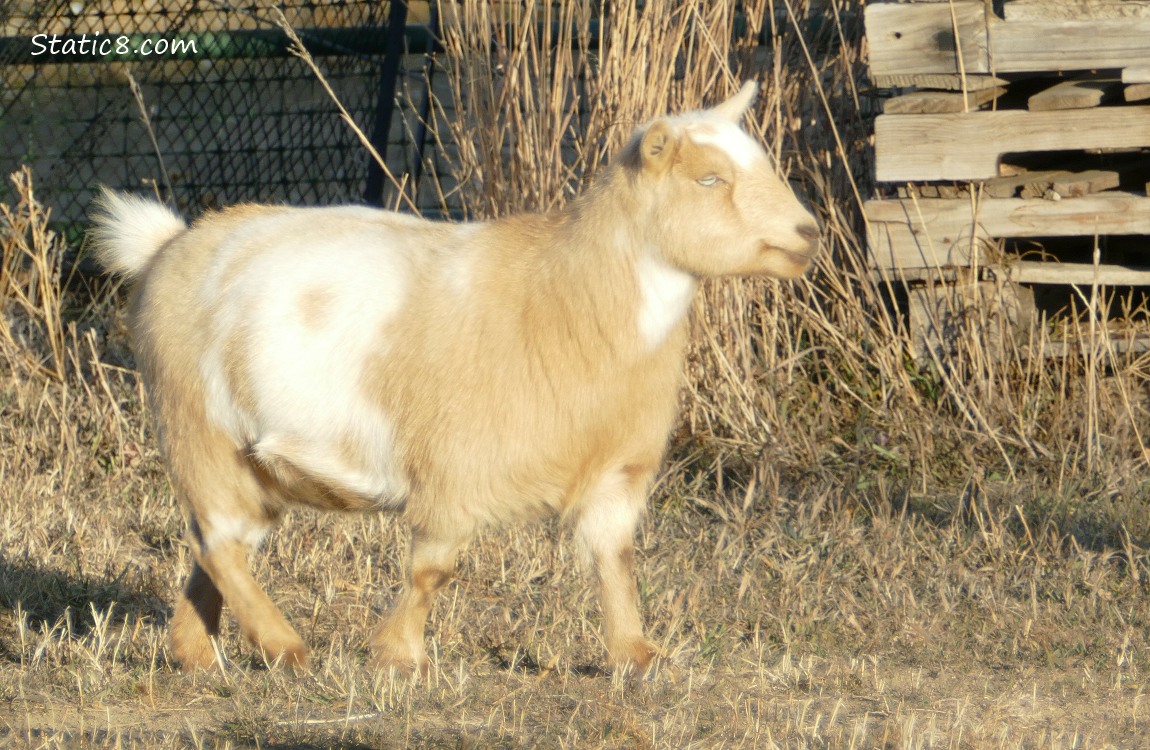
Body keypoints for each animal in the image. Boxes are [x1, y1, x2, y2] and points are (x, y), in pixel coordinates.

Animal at [90, 82, 819, 675]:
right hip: (197, 427)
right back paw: (284, 647)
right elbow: (433, 571)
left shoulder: (617, 470)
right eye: (709, 179)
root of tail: (167, 245)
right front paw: (398, 659)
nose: (807, 233)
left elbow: (615, 561)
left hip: (248, 459)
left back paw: (197, 654)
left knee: (215, 547)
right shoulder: (454, 470)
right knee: (221, 542)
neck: (570, 294)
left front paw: (636, 657)